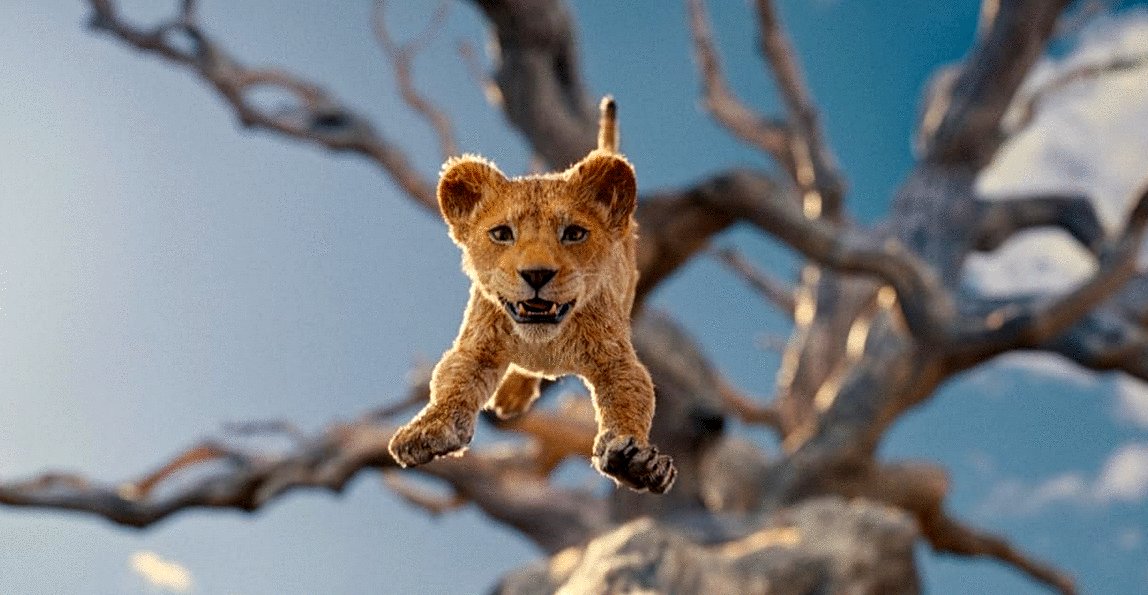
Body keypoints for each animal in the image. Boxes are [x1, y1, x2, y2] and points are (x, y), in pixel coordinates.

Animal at [387, 97, 677, 493]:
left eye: (574, 233)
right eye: (502, 233)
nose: (537, 274)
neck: (543, 341)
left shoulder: (616, 360)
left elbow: (631, 399)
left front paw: (636, 462)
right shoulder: (477, 346)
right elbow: (451, 383)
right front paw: (426, 430)